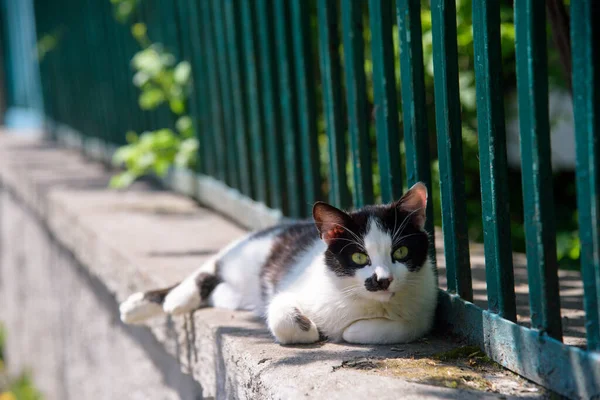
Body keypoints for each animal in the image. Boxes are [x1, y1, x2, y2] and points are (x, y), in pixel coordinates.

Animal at [118, 183, 436, 346]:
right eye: (359, 257)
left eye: (401, 252)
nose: (383, 280)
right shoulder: (292, 291)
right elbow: (283, 317)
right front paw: (311, 329)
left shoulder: (424, 311)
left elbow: (396, 328)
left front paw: (350, 331)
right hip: (245, 253)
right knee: (208, 267)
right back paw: (160, 302)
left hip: (235, 293)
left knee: (215, 284)